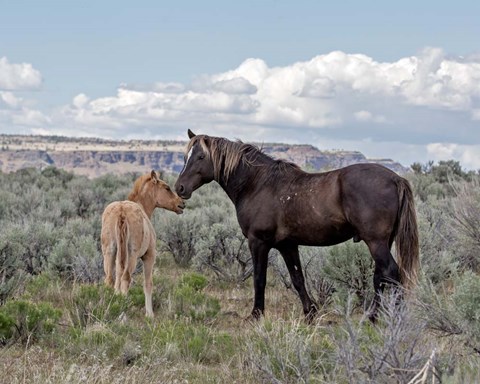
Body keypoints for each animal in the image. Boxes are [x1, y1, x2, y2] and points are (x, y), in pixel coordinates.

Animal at [100, 172, 185, 316]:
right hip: (132, 255)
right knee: (126, 278)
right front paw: (149, 314)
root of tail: (121, 211)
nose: (182, 203)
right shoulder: (149, 256)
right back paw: (123, 309)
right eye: (167, 187)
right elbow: (148, 283)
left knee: (110, 279)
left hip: (109, 252)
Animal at [174, 130, 418, 320]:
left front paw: (256, 314)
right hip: (383, 241)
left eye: (201, 156)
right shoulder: (287, 245)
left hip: (375, 241)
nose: (180, 188)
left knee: (391, 273)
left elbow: (259, 279)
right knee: (381, 277)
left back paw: (391, 318)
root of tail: (395, 178)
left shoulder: (258, 242)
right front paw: (310, 313)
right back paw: (373, 316)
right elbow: (297, 279)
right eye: (185, 156)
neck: (258, 184)